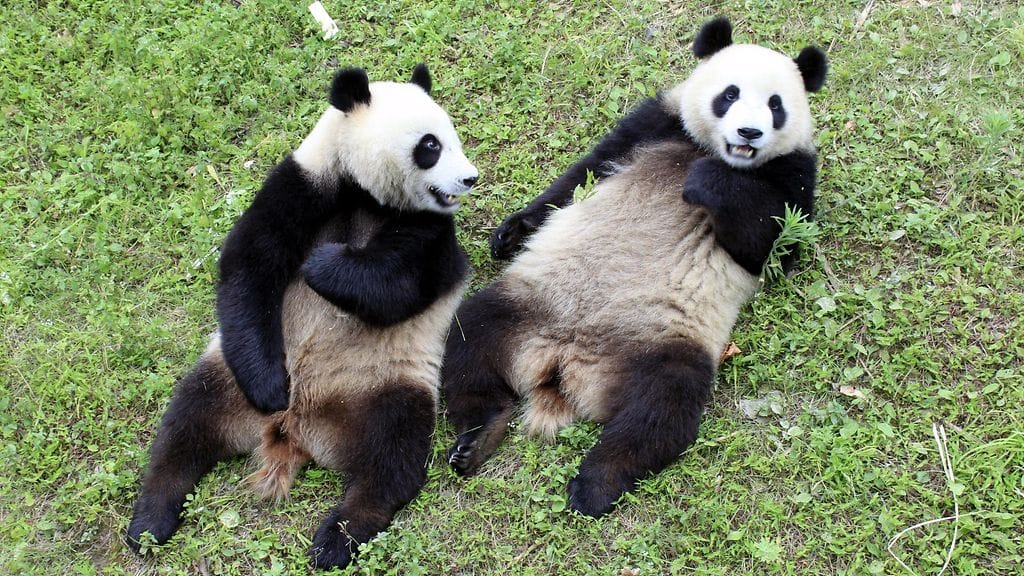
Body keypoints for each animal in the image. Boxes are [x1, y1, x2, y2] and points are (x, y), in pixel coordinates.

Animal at [126, 64, 478, 570]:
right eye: (431, 145)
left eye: (453, 137)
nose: (469, 179)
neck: (365, 194)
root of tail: (296, 429)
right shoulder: (304, 184)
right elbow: (249, 266)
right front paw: (271, 386)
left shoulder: (431, 232)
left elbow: (400, 286)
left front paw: (324, 264)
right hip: (226, 378)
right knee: (183, 430)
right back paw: (150, 521)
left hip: (387, 384)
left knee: (392, 457)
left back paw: (336, 538)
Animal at [442, 18, 826, 517]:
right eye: (730, 94)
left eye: (775, 105)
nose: (748, 132)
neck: (720, 155)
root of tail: (566, 367)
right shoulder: (653, 124)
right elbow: (577, 179)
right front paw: (511, 233)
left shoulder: (794, 171)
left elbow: (776, 247)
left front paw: (708, 184)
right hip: (531, 301)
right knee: (468, 338)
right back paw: (479, 437)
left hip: (663, 343)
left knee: (660, 411)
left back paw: (595, 485)